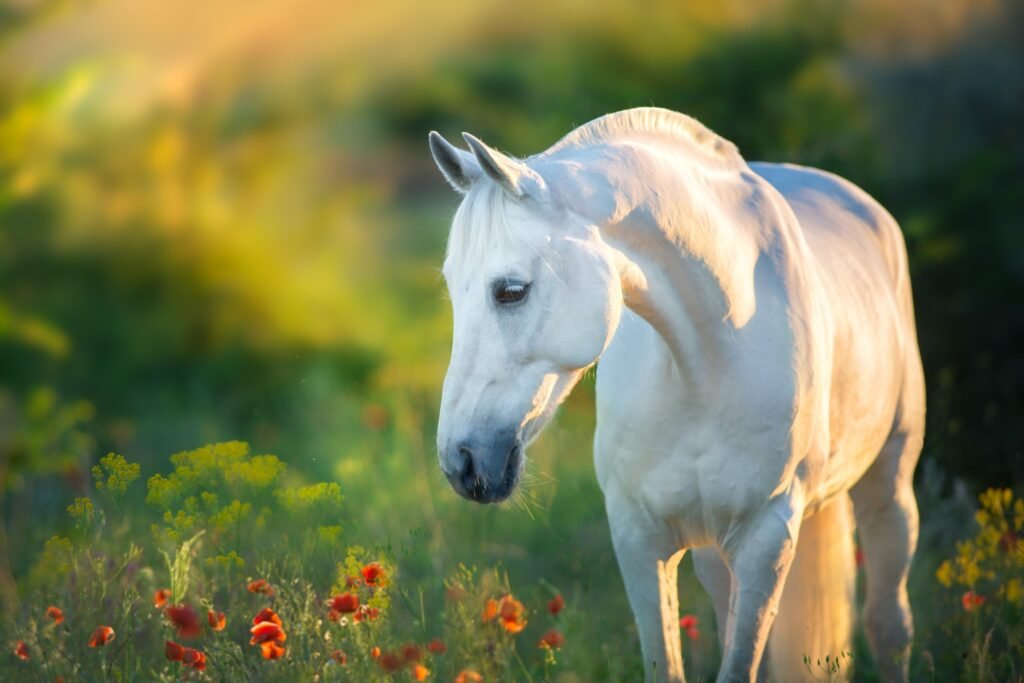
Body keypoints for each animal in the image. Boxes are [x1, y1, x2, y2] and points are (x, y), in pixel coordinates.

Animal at [428, 107, 924, 683]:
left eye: (511, 291)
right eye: (451, 287)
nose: (462, 461)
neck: (708, 360)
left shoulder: (767, 537)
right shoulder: (638, 537)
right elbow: (669, 662)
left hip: (888, 489)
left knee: (888, 625)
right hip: (716, 552)